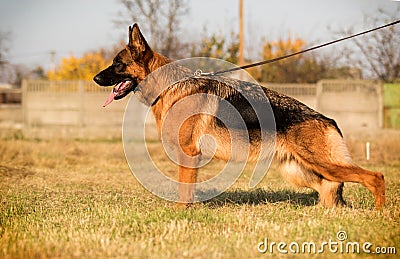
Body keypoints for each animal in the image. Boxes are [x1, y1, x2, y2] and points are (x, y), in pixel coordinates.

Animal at [94, 24, 384, 210]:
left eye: (117, 64)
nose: (95, 78)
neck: (169, 86)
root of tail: (328, 120)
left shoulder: (188, 153)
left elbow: (183, 191)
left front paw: (179, 216)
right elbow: (189, 190)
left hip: (324, 165)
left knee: (375, 177)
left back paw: (379, 215)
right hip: (301, 170)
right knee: (328, 191)